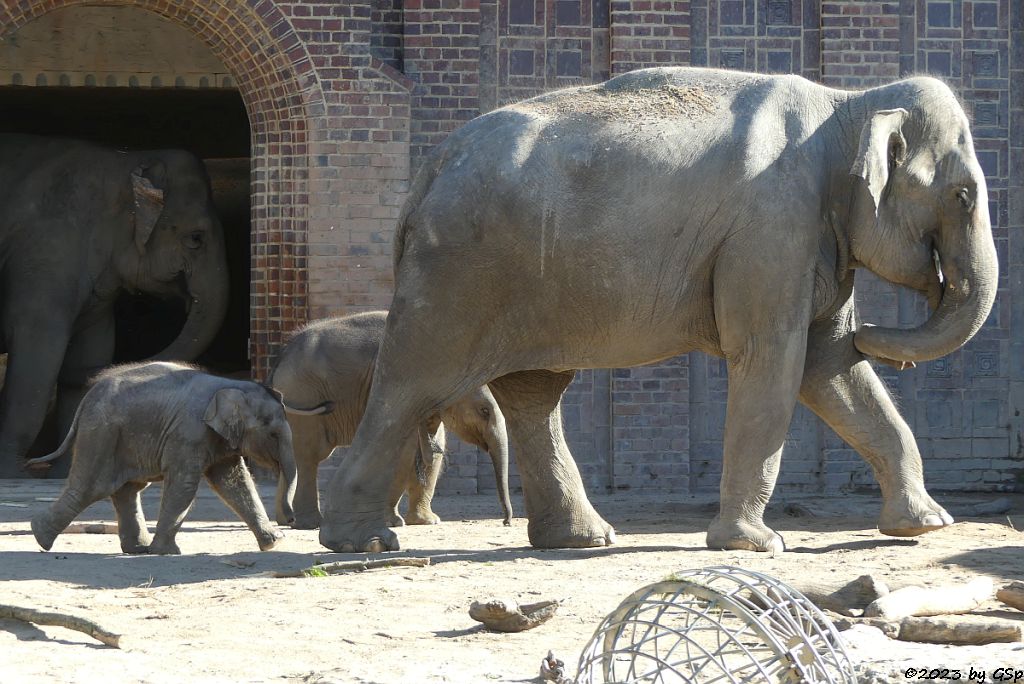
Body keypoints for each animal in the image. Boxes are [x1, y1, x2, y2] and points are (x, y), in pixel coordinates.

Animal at [0, 133, 230, 475]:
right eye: (196, 238)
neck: (124, 161)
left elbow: (93, 347)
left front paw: (65, 473)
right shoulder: (46, 254)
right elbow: (40, 351)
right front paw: (12, 473)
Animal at [28, 360, 299, 552]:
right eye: (273, 434)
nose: (291, 520)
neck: (230, 385)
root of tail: (86, 399)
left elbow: (235, 483)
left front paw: (274, 542)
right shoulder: (188, 433)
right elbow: (185, 484)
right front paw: (166, 552)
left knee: (127, 489)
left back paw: (137, 549)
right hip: (101, 434)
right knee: (91, 487)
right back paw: (40, 537)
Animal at [270, 313, 516, 532]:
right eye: (484, 411)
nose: (506, 522)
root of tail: (283, 353)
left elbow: (433, 451)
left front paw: (428, 522)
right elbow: (402, 454)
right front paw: (394, 523)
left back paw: (286, 521)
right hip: (304, 396)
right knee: (308, 456)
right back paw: (310, 524)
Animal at [321, 65, 999, 557]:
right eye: (963, 195)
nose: (879, 334)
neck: (847, 106)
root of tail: (426, 173)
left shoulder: (812, 238)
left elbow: (830, 367)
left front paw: (927, 526)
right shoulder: (773, 228)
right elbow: (775, 360)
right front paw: (757, 545)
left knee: (533, 396)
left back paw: (580, 541)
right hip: (454, 275)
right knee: (413, 385)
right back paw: (363, 542)